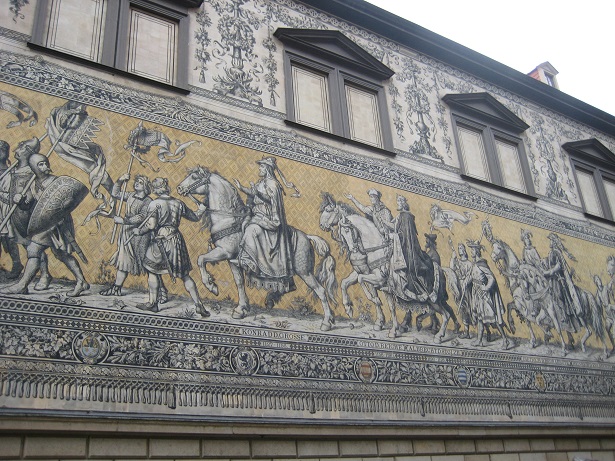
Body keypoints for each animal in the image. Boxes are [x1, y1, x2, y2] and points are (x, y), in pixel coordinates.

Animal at [177, 166, 338, 331]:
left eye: (194, 177)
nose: (179, 188)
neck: (228, 218)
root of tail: (308, 237)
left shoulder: (223, 252)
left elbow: (200, 259)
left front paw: (211, 286)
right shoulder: (231, 260)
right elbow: (239, 282)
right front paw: (241, 309)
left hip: (304, 272)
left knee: (320, 291)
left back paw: (326, 322)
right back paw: (271, 299)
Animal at [319, 195, 456, 342]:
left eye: (348, 230)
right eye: (342, 233)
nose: (321, 225)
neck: (375, 248)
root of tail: (440, 269)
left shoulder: (378, 279)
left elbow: (367, 287)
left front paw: (382, 315)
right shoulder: (365, 273)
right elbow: (346, 283)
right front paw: (349, 308)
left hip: (433, 299)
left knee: (445, 313)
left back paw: (438, 335)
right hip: (433, 300)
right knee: (439, 311)